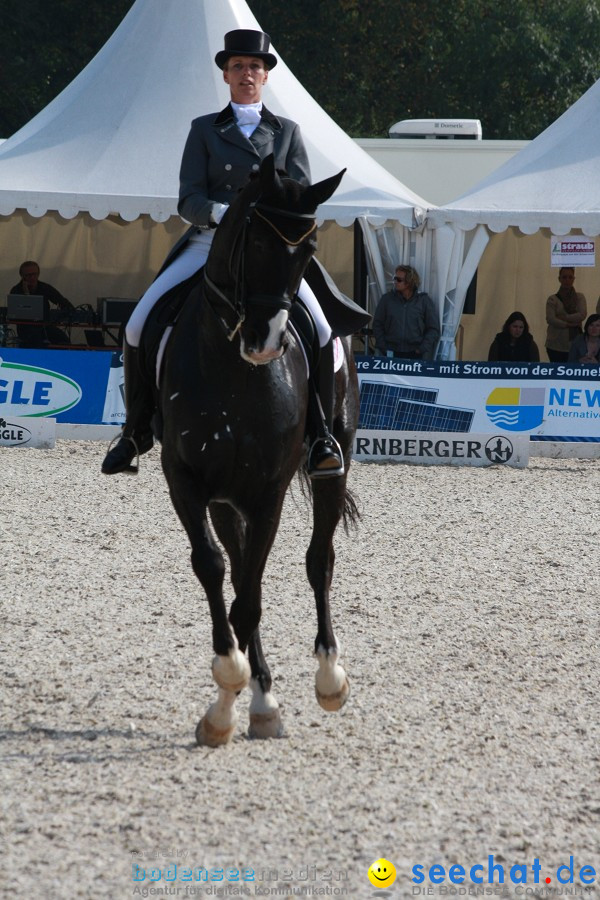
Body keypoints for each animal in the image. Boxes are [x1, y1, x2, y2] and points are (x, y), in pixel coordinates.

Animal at [157, 155, 358, 744]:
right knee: (240, 563)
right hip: (227, 499)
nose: (267, 342)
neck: (233, 371)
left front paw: (235, 697)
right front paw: (235, 691)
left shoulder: (269, 490)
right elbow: (214, 568)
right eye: (258, 241)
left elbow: (249, 601)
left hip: (333, 465)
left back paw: (329, 676)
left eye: (309, 249)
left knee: (319, 560)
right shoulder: (185, 478)